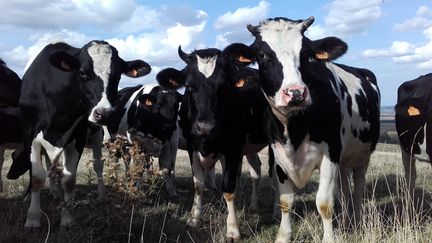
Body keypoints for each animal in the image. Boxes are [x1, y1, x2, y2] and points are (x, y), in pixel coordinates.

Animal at [16, 39, 151, 228]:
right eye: (82, 73)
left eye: (117, 75)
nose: (105, 113)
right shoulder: (31, 136)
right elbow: (36, 177)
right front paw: (33, 218)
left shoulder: (77, 138)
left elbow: (69, 180)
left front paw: (67, 218)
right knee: (49, 167)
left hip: (97, 135)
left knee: (97, 165)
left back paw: (99, 195)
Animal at [90, 68, 185, 199]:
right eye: (158, 105)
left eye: (176, 106)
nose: (170, 125)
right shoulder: (139, 142)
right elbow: (140, 166)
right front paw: (138, 189)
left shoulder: (166, 142)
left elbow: (166, 166)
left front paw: (171, 191)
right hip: (111, 140)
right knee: (114, 159)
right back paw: (114, 180)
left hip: (124, 143)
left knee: (126, 159)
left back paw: (127, 178)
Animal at [175, 42, 272, 240]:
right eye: (189, 86)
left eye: (224, 85)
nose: (205, 127)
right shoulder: (191, 147)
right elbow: (198, 184)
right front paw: (194, 219)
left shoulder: (232, 149)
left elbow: (228, 188)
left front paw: (233, 229)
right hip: (250, 147)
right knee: (256, 170)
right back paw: (253, 205)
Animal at [246, 16, 382, 241]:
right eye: (262, 55)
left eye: (306, 54)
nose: (295, 93)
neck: (294, 129)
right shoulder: (279, 157)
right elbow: (286, 201)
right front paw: (283, 237)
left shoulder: (330, 154)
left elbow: (325, 202)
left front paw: (329, 238)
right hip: (342, 160)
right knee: (345, 191)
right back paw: (345, 223)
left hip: (362, 156)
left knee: (357, 190)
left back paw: (356, 223)